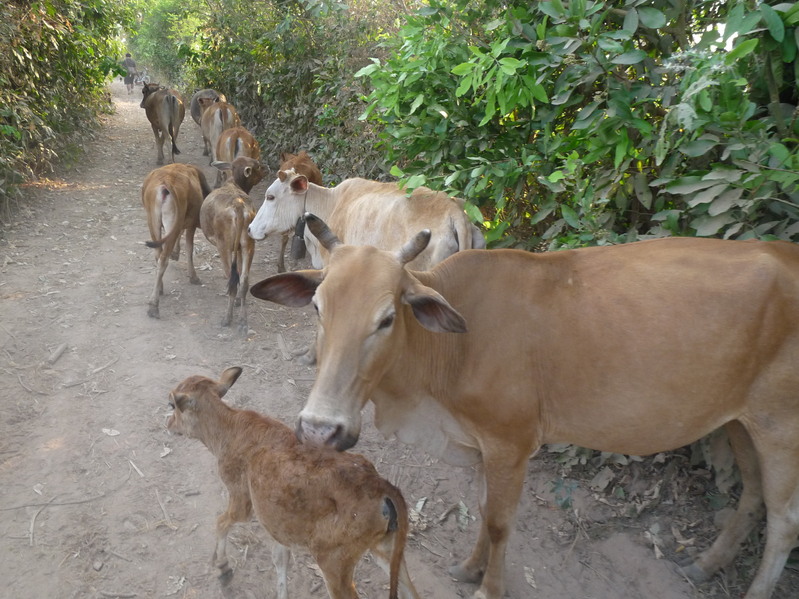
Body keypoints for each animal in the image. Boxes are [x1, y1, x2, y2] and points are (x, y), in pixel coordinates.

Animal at [141, 162, 211, 322]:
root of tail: (165, 182)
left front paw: (175, 253)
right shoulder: (191, 224)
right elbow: (190, 248)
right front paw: (193, 276)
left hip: (153, 222)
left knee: (158, 255)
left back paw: (159, 289)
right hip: (171, 221)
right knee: (163, 260)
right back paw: (153, 306)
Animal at [166, 366, 422, 599]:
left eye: (172, 405)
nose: (169, 424)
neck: (223, 433)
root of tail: (382, 487)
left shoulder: (241, 498)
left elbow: (220, 522)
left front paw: (222, 567)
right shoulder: (275, 521)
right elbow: (280, 558)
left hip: (333, 560)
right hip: (386, 548)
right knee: (410, 589)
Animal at [199, 157, 266, 336]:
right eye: (257, 165)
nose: (266, 168)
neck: (233, 182)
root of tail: (238, 205)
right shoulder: (241, 248)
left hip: (224, 245)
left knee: (232, 280)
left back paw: (227, 319)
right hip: (249, 242)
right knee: (243, 281)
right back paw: (243, 321)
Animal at [253, 214, 799, 599]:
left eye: (387, 318)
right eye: (318, 307)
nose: (320, 430)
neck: (449, 353)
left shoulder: (510, 443)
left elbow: (499, 522)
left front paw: (488, 588)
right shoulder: (479, 442)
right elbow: (481, 508)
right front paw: (469, 568)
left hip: (780, 426)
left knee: (783, 521)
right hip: (739, 421)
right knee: (751, 496)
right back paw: (706, 564)